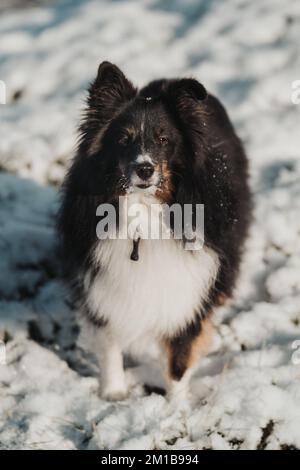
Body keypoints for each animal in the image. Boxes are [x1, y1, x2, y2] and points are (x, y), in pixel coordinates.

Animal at [58, 61, 251, 400]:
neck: (144, 211)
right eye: (123, 139)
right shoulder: (101, 282)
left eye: (163, 139)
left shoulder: (190, 290)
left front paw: (175, 406)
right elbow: (109, 340)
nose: (145, 169)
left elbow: (180, 356)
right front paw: (113, 394)